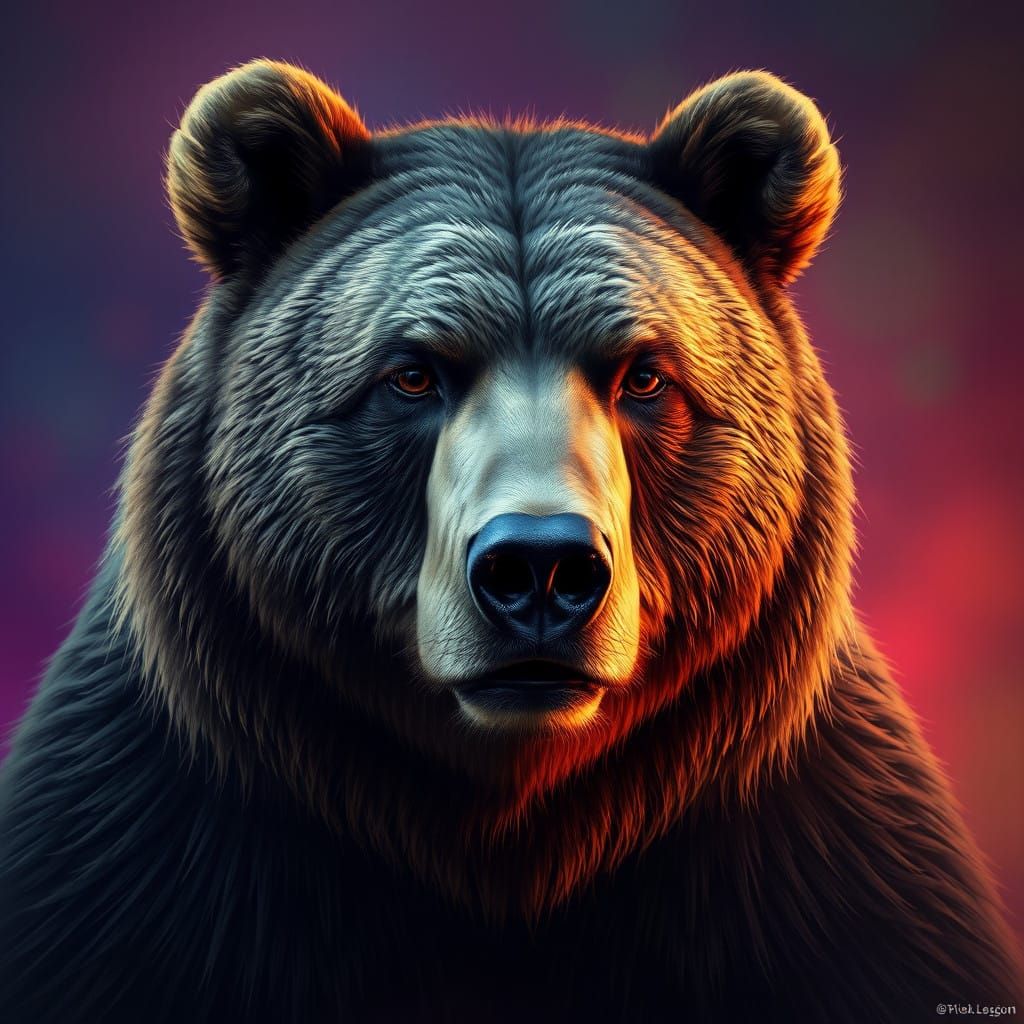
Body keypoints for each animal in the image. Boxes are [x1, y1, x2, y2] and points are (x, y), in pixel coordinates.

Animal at [0, 59, 1021, 1023]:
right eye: (411, 373)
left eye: (645, 375)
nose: (540, 566)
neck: (507, 835)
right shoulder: (152, 841)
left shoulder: (822, 867)